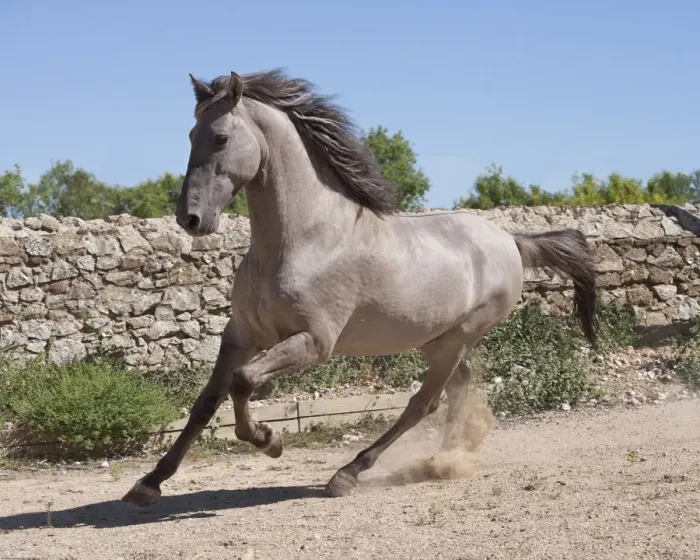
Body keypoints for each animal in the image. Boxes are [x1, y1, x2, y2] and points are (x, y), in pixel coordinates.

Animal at [122, 69, 598, 507]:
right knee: (456, 390)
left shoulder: (315, 342)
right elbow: (207, 401)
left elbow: (242, 382)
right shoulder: (241, 335)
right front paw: (148, 484)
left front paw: (270, 441)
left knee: (423, 403)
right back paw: (442, 460)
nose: (191, 219)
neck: (304, 240)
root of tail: (512, 240)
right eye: (191, 134)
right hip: (436, 340)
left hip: (457, 339)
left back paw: (348, 474)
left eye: (220, 138)